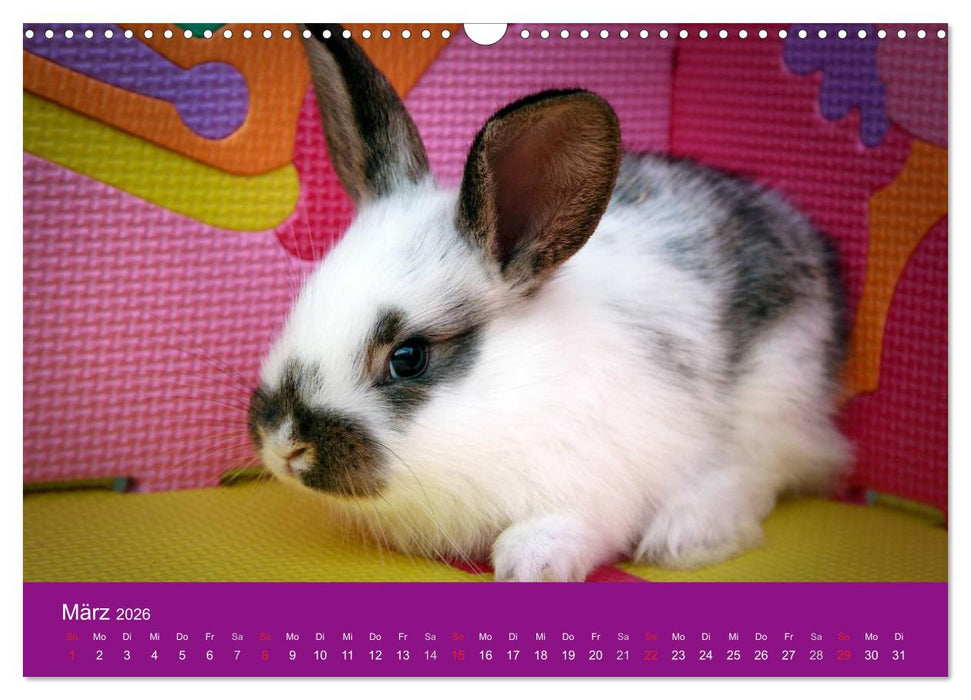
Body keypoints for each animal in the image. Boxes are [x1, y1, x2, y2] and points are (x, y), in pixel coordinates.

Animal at [248, 24, 852, 582]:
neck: (520, 390)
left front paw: (529, 565)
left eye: (409, 357)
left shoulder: (596, 488)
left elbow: (564, 529)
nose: (285, 444)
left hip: (773, 394)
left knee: (757, 475)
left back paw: (687, 535)